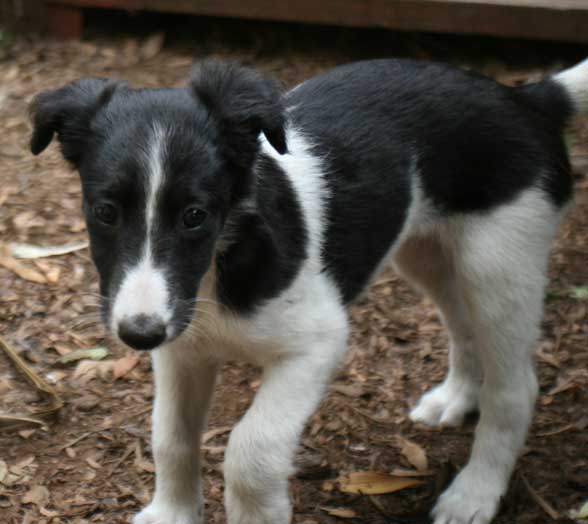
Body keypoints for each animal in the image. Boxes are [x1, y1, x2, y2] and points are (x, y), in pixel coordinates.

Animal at [30, 57, 587, 524]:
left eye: (194, 216)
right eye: (104, 212)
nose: (138, 335)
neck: (220, 265)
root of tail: (528, 98)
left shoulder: (316, 343)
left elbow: (250, 450)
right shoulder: (182, 346)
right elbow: (170, 437)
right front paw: (172, 514)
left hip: (498, 262)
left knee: (514, 387)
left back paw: (474, 493)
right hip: (431, 256)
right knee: (463, 327)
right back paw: (455, 398)